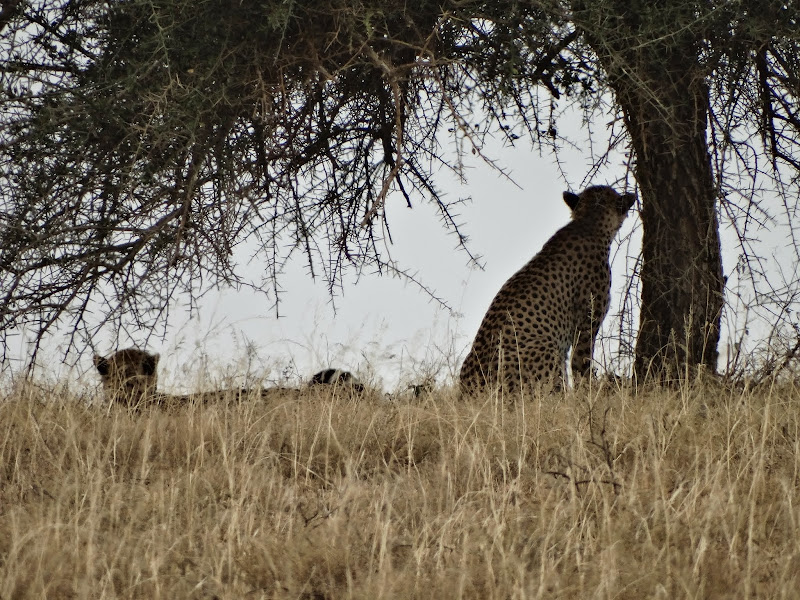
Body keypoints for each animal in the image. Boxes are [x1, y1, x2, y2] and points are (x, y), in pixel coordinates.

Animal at [460, 185, 636, 396]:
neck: (588, 222)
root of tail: (466, 393)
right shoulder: (586, 326)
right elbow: (581, 365)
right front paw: (588, 394)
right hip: (547, 348)